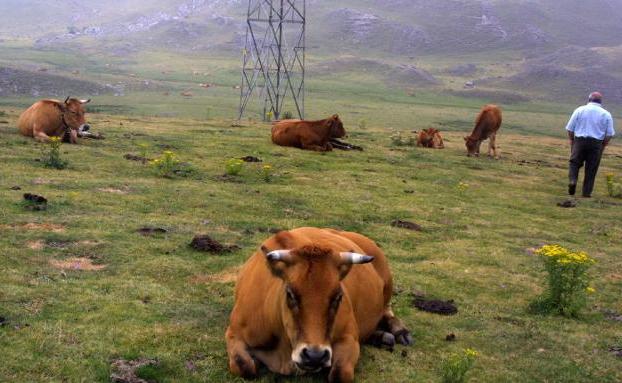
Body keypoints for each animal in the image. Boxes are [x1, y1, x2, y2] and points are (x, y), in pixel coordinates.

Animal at [227, 228, 412, 383]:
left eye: (338, 297)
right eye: (290, 294)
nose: (314, 356)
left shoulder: (348, 337)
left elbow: (340, 373)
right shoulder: (234, 332)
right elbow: (243, 365)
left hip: (388, 283)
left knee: (387, 310)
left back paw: (399, 332)